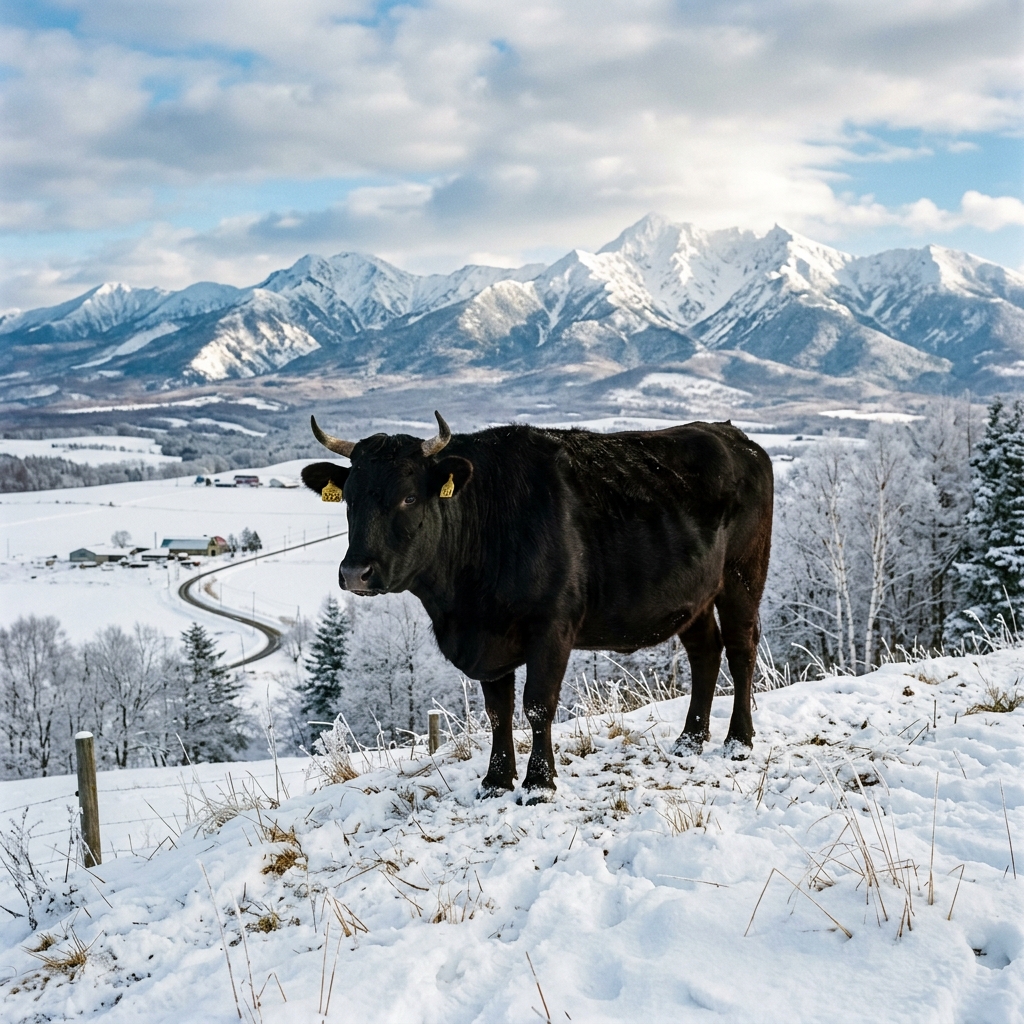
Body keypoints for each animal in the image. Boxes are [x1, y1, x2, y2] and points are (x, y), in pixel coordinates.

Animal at [301, 411, 773, 803]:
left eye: (409, 498)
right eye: (350, 499)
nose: (355, 572)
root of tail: (731, 433)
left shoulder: (551, 627)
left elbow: (537, 704)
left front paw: (538, 783)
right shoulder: (489, 639)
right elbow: (498, 711)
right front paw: (495, 781)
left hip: (742, 577)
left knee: (741, 648)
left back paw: (739, 741)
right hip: (694, 596)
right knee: (705, 653)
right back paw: (690, 739)